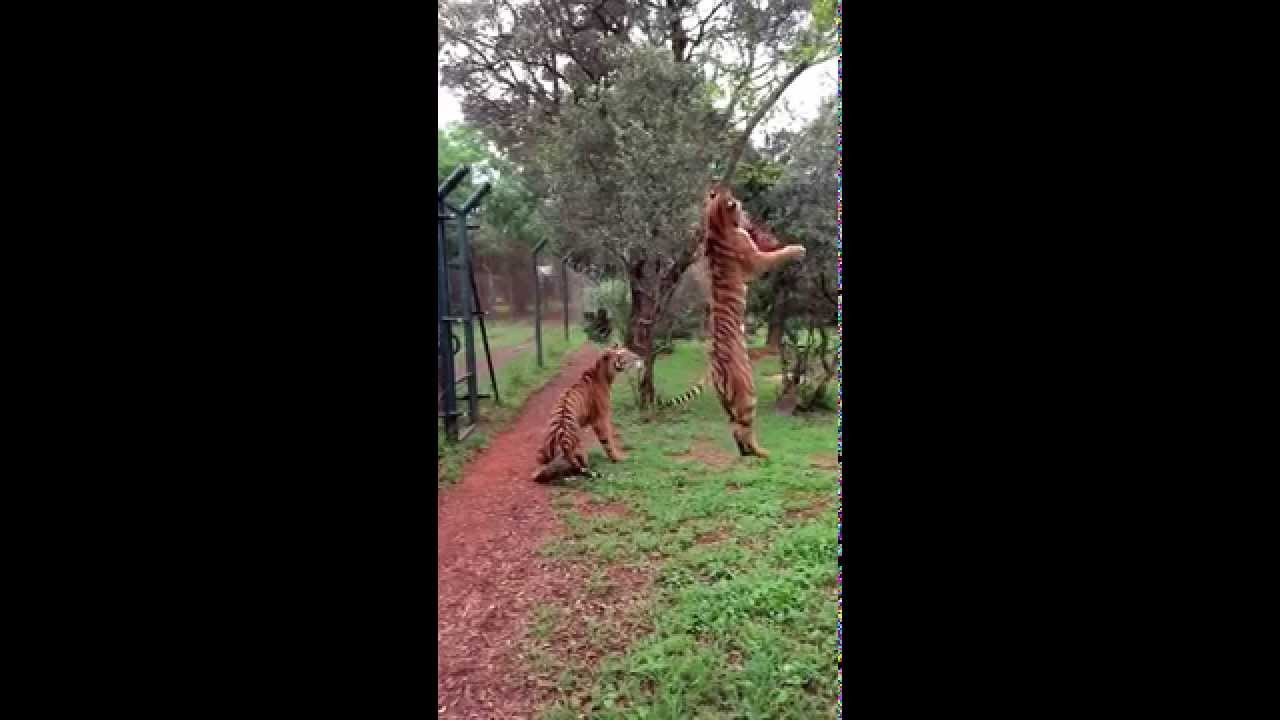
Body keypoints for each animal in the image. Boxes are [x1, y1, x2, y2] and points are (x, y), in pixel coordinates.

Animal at [531, 343, 645, 483]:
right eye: (624, 355)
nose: (639, 357)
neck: (603, 373)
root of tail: (563, 443)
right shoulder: (601, 418)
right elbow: (608, 441)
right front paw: (618, 458)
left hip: (542, 450)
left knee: (540, 470)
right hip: (580, 448)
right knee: (582, 467)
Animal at [660, 185, 806, 458]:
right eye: (741, 207)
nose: (747, 216)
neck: (717, 224)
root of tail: (715, 368)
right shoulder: (756, 260)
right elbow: (775, 255)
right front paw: (797, 249)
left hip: (727, 401)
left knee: (735, 427)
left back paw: (747, 452)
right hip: (748, 393)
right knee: (743, 427)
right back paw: (762, 452)